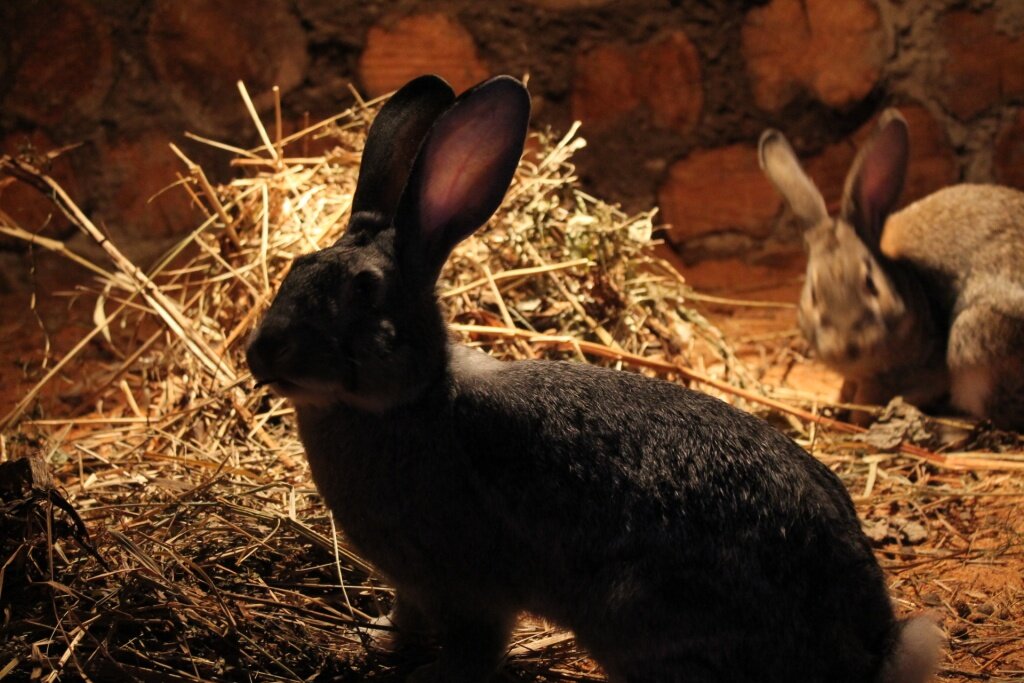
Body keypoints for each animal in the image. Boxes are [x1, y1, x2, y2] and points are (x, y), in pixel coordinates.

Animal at [247, 76, 942, 683]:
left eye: (363, 292)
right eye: (296, 270)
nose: (261, 354)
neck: (414, 401)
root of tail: (872, 649)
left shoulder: (467, 589)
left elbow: (473, 651)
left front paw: (423, 678)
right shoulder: (412, 587)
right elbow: (403, 621)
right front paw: (366, 642)